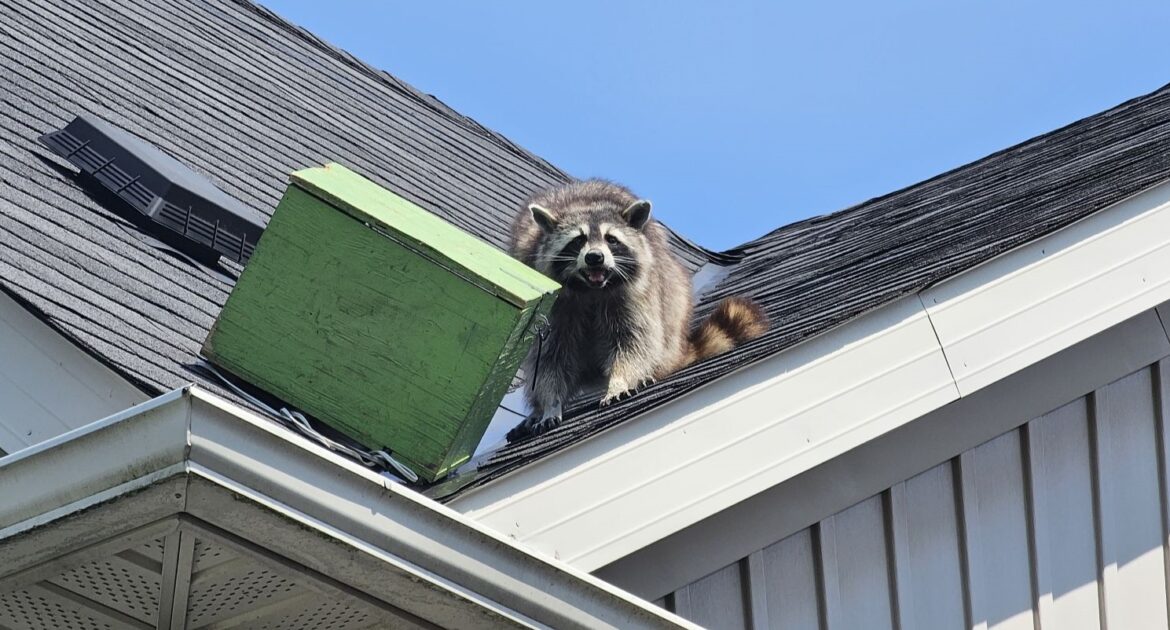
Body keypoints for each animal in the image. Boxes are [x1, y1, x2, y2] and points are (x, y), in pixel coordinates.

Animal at [510, 179, 767, 437]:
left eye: (611, 239)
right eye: (578, 240)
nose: (595, 257)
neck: (592, 289)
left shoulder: (636, 294)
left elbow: (633, 342)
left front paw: (620, 380)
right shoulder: (554, 306)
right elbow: (550, 357)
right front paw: (550, 404)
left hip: (670, 296)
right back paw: (536, 410)